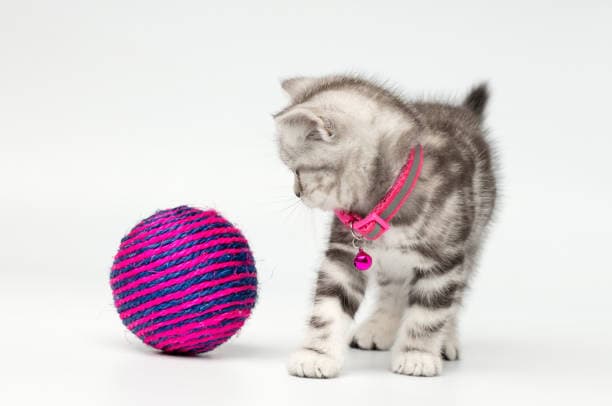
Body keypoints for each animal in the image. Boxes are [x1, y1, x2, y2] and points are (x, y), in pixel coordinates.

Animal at [274, 73, 494, 378]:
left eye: (297, 171)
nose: (297, 193)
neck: (384, 201)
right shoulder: (344, 256)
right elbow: (329, 307)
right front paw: (317, 354)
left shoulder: (443, 262)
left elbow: (429, 314)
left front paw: (417, 354)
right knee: (394, 290)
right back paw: (380, 327)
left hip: (472, 243)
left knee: (456, 296)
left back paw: (447, 339)